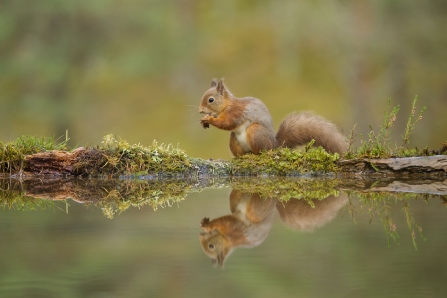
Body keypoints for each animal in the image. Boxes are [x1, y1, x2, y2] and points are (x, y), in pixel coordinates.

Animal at [200, 79, 350, 156]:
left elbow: (227, 123)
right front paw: (204, 121)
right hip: (234, 140)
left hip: (255, 132)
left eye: (211, 100)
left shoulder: (234, 113)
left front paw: (209, 119)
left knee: (263, 150)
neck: (226, 104)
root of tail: (274, 144)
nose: (200, 110)